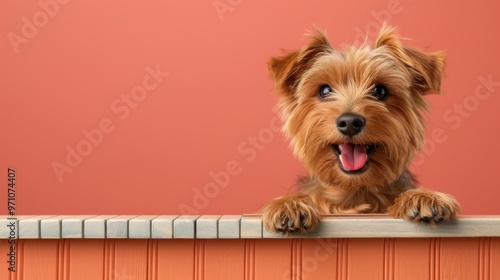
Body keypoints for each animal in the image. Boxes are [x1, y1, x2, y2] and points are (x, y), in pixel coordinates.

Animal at [262, 24, 460, 235]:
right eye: (324, 90)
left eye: (380, 91)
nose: (350, 122)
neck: (354, 190)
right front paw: (289, 204)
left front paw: (424, 197)